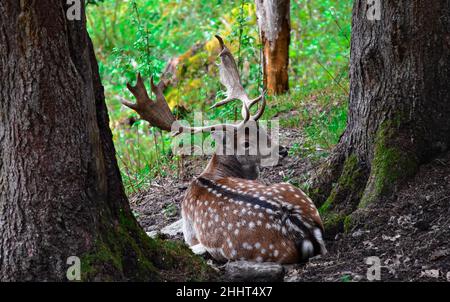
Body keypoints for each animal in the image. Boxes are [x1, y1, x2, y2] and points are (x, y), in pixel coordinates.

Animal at [122, 34, 326, 262]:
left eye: (263, 129)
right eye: (245, 142)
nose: (282, 150)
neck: (209, 174)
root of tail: (302, 230)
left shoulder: (189, 231)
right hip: (292, 191)